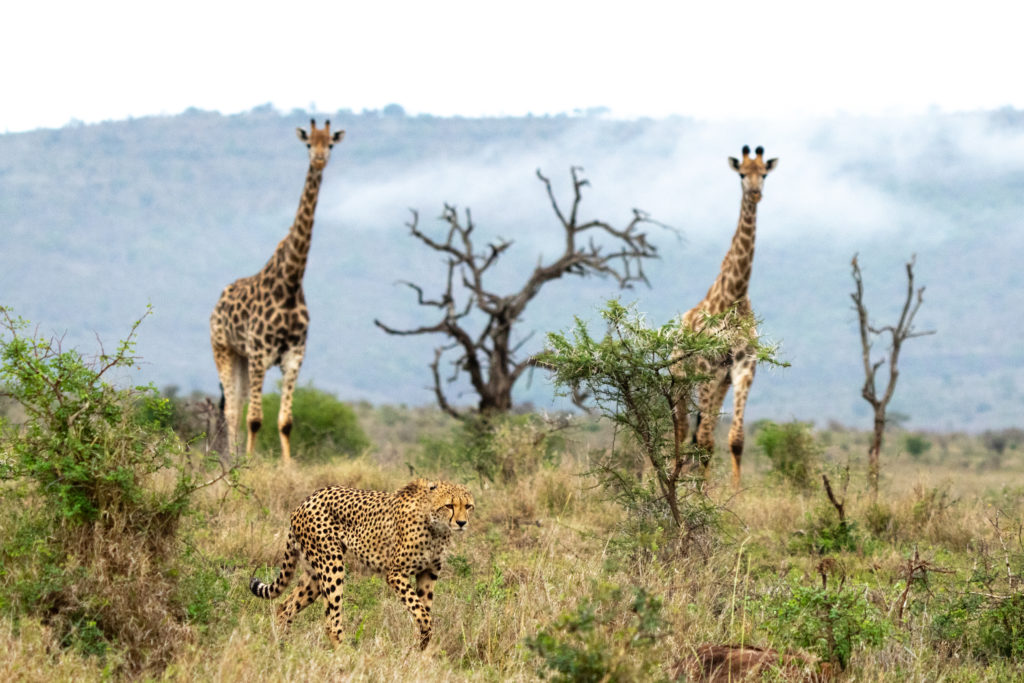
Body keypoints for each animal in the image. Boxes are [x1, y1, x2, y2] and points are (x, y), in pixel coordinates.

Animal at [209, 118, 346, 464]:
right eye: (309, 143)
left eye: (330, 143)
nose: (320, 159)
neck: (291, 282)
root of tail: (217, 303)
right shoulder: (260, 353)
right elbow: (255, 419)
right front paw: (249, 465)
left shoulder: (294, 355)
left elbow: (285, 421)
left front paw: (288, 467)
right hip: (224, 349)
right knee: (232, 411)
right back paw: (233, 462)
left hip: (242, 358)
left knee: (237, 404)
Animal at [249, 479, 473, 651]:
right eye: (449, 506)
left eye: (468, 506)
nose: (462, 523)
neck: (436, 527)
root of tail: (306, 500)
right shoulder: (396, 573)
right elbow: (423, 613)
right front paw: (422, 641)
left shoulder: (428, 573)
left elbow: (423, 610)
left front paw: (420, 648)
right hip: (331, 563)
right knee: (331, 621)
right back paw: (346, 654)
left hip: (314, 573)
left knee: (285, 607)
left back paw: (282, 645)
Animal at [671, 144, 774, 489]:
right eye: (742, 174)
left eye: (764, 174)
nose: (755, 193)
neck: (735, 296)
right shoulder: (707, 365)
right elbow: (703, 440)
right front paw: (704, 495)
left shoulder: (742, 366)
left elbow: (735, 439)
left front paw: (735, 494)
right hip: (681, 379)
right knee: (682, 430)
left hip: (719, 383)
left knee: (703, 429)